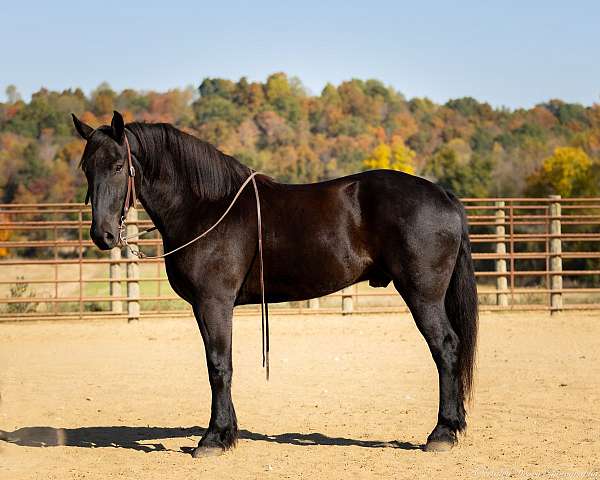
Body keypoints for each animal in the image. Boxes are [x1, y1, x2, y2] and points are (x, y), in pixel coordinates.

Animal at [74, 109, 478, 458]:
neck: (204, 207)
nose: (102, 235)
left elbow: (218, 366)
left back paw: (442, 433)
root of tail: (443, 196)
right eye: (86, 168)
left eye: (118, 165)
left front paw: (213, 439)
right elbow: (222, 364)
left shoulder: (213, 303)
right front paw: (228, 433)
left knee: (446, 348)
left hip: (423, 296)